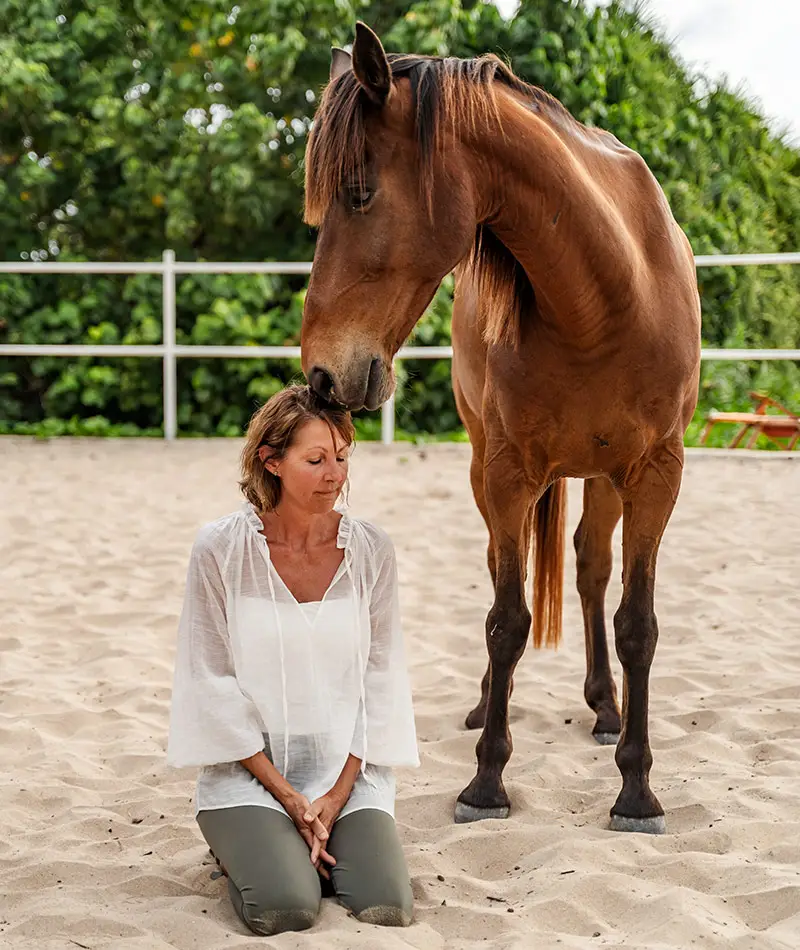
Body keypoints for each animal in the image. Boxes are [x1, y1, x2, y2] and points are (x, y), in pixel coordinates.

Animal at [300, 22, 701, 834]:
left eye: (359, 192)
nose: (322, 375)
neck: (603, 299)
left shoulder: (655, 475)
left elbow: (637, 624)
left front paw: (638, 791)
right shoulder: (510, 472)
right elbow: (506, 620)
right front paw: (486, 780)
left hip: (603, 478)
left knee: (589, 567)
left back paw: (606, 708)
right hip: (488, 468)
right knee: (501, 570)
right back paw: (491, 704)